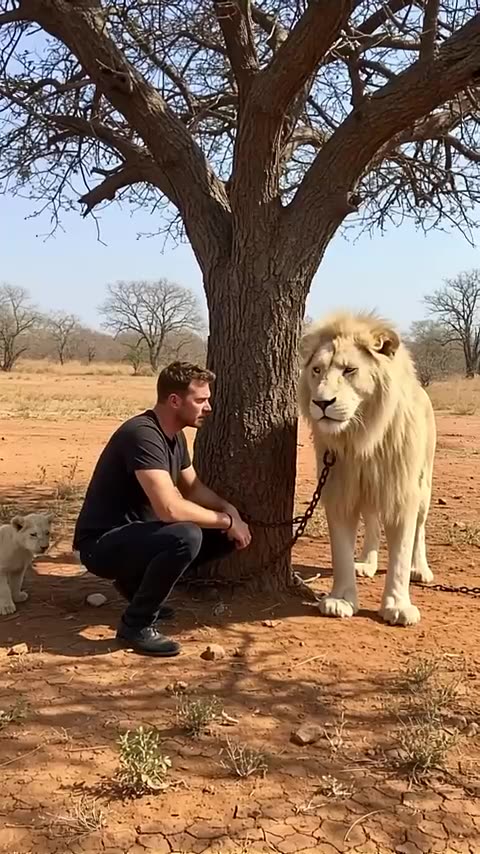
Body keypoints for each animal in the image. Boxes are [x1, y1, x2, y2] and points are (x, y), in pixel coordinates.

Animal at [298, 310, 436, 627]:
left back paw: (420, 569)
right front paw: (340, 600)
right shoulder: (339, 490)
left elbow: (401, 553)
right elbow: (340, 551)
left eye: (350, 370)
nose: (321, 402)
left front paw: (398, 606)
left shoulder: (402, 491)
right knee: (372, 522)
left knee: (420, 528)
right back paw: (367, 563)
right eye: (316, 370)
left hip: (424, 485)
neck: (360, 438)